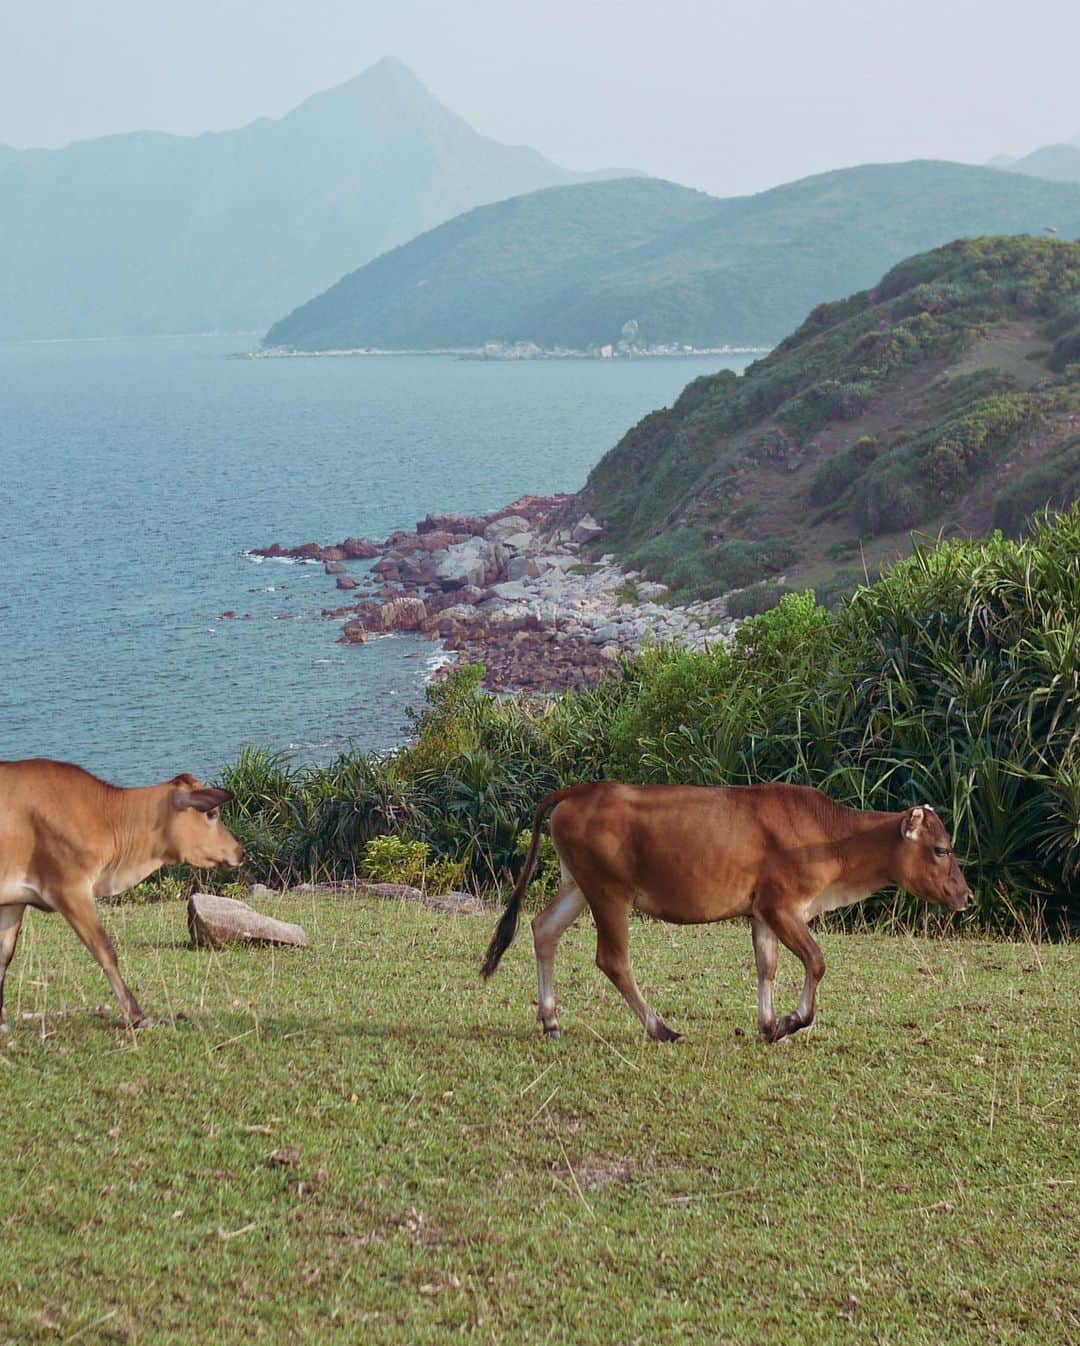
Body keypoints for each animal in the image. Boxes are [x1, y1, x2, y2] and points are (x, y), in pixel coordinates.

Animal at [0, 759, 243, 1028]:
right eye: (212, 813)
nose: (240, 851)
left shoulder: (15, 900)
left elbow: (4, 955)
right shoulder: (70, 888)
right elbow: (105, 950)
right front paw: (138, 1015)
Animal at [479, 786, 969, 1044]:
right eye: (940, 849)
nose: (966, 897)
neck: (832, 839)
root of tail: (580, 790)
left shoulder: (761, 911)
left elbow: (766, 966)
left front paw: (769, 1025)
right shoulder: (782, 905)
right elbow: (816, 961)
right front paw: (791, 1020)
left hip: (580, 884)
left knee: (543, 929)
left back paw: (551, 1019)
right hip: (609, 891)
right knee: (612, 959)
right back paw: (662, 1028)